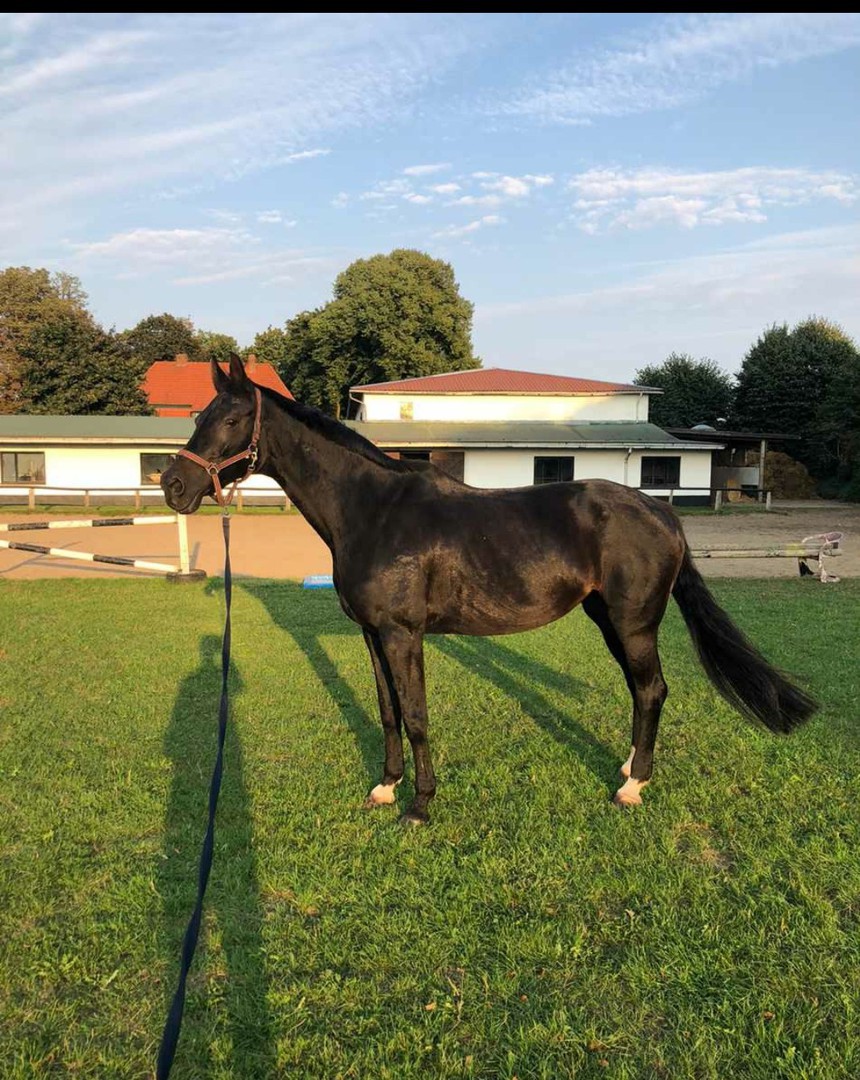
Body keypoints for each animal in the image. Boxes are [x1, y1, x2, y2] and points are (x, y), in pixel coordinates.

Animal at [161, 355, 816, 824]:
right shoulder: (372, 633)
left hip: (633, 623)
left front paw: (420, 806)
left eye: (230, 419)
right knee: (641, 691)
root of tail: (662, 512)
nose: (173, 487)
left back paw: (632, 787)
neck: (371, 509)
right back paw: (632, 767)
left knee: (652, 689)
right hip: (607, 619)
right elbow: (388, 711)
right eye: (198, 417)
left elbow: (417, 714)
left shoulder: (403, 634)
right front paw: (386, 788)